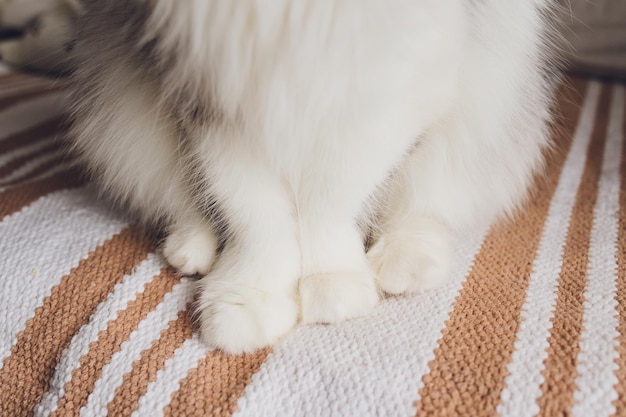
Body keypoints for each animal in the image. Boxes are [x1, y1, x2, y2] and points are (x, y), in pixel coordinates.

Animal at [70, 0, 560, 352]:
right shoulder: (215, 95)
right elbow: (254, 213)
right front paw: (247, 300)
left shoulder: (388, 86)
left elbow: (328, 202)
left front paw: (334, 288)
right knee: (185, 201)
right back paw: (191, 248)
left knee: (427, 205)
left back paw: (405, 261)